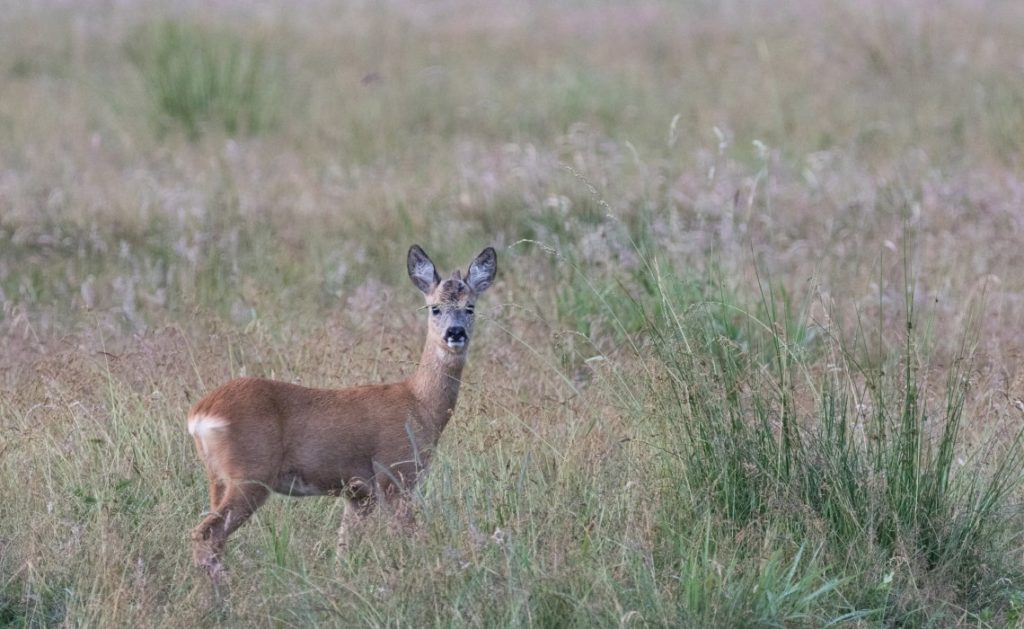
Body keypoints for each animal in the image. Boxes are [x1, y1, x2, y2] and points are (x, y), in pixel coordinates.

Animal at [192, 244, 499, 581]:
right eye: (434, 308)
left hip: (218, 478)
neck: (419, 404)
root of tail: (201, 413)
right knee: (206, 533)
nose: (455, 333)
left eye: (470, 307)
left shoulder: (359, 493)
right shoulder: (394, 474)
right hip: (251, 474)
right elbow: (412, 538)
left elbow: (343, 550)